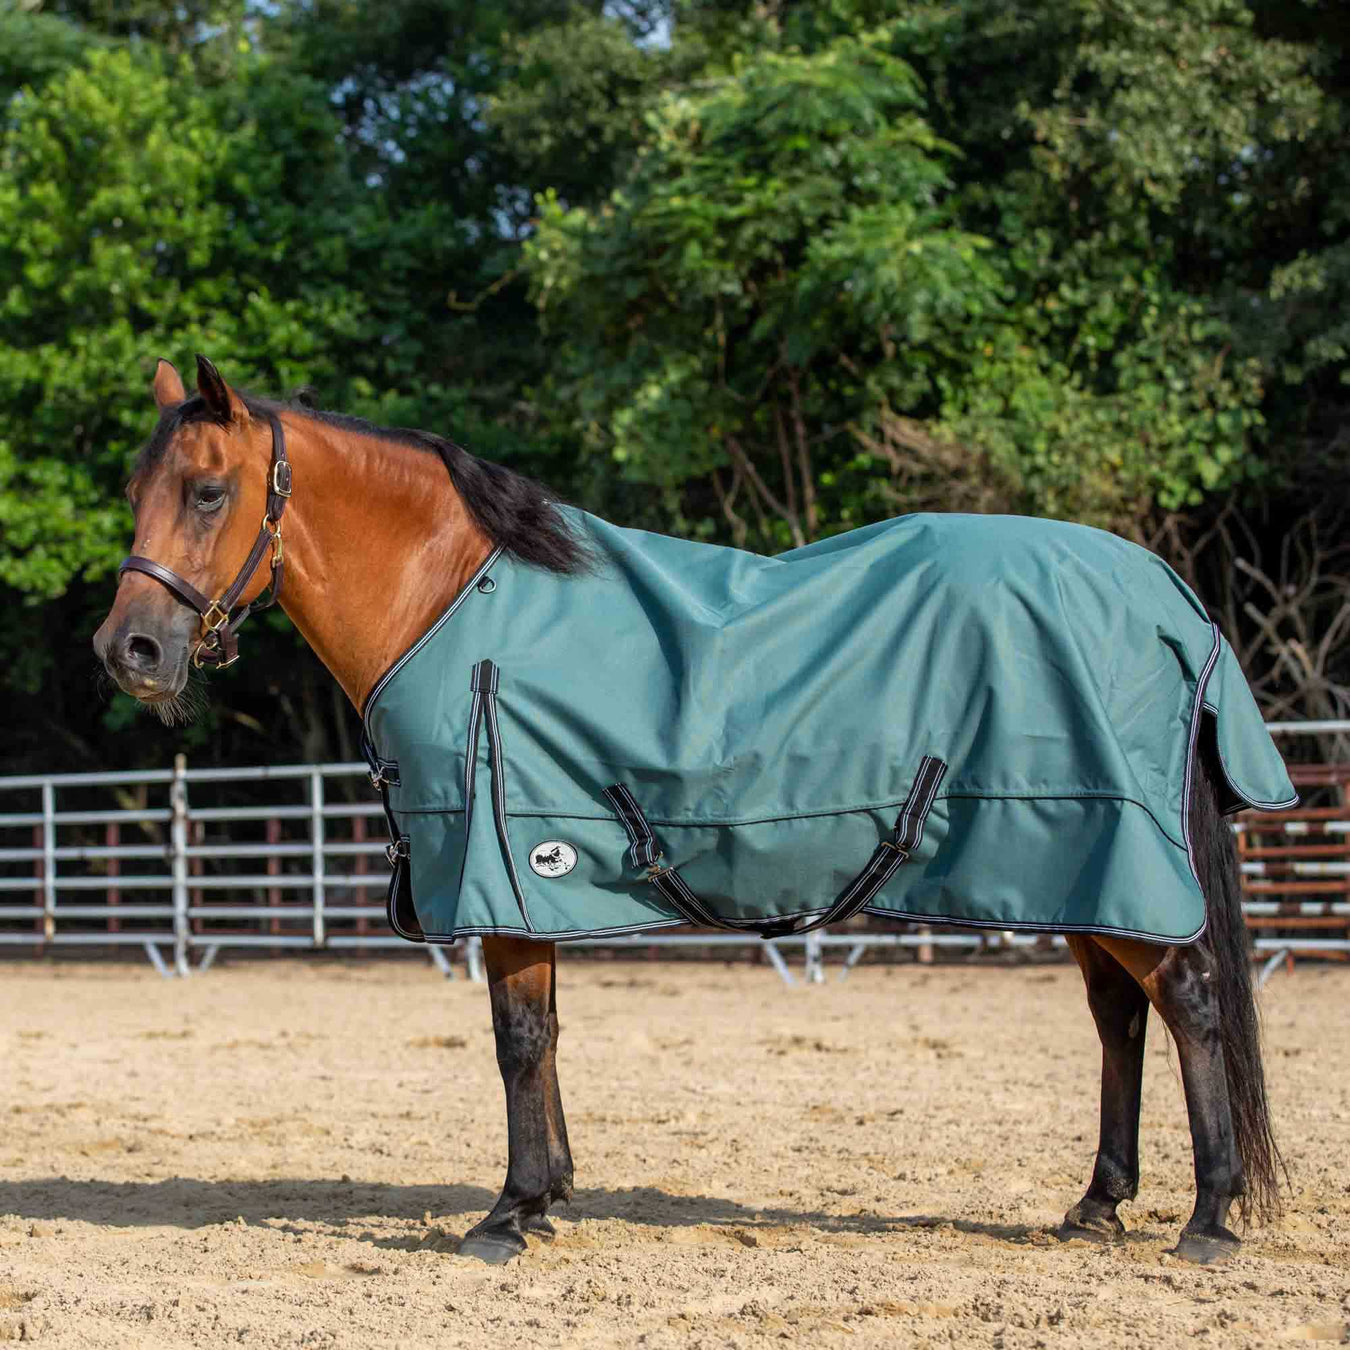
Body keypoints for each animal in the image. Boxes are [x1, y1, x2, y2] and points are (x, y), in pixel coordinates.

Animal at [93, 355, 1285, 1266]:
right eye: (136, 491)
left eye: (208, 491)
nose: (130, 651)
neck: (452, 601)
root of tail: (1163, 591)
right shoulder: (531, 885)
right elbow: (545, 1037)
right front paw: (551, 1195)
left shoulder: (507, 867)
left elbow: (518, 1040)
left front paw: (509, 1215)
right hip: (1086, 868)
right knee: (1118, 1016)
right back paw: (1098, 1204)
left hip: (1115, 852)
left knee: (1188, 1001)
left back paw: (1211, 1218)